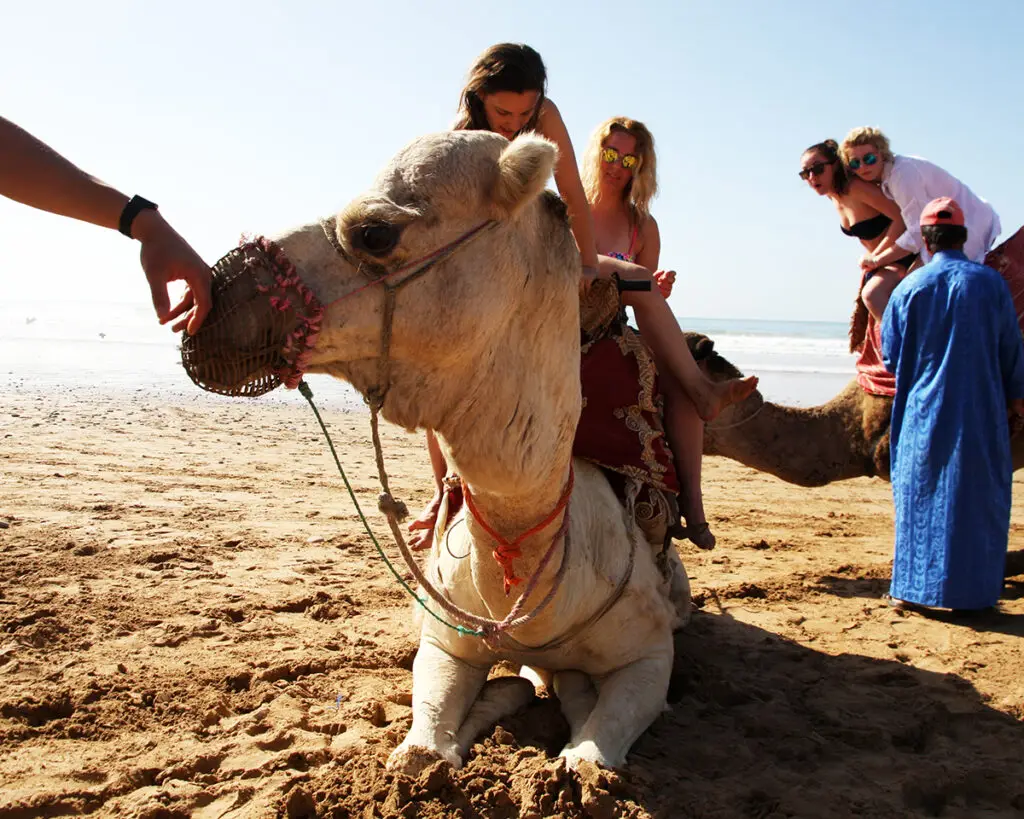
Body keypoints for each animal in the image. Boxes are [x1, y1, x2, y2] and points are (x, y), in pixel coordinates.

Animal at [188, 133, 692, 773]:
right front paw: (473, 720)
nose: (209, 303)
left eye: (375, 233)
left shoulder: (651, 652)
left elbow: (593, 751)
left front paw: (576, 738)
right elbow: (424, 744)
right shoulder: (444, 639)